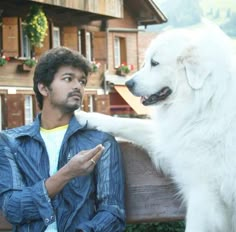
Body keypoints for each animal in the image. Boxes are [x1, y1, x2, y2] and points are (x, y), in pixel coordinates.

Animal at [75, 20, 236, 232]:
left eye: (154, 63)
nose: (128, 83)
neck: (205, 100)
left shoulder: (204, 196)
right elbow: (129, 122)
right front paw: (84, 116)